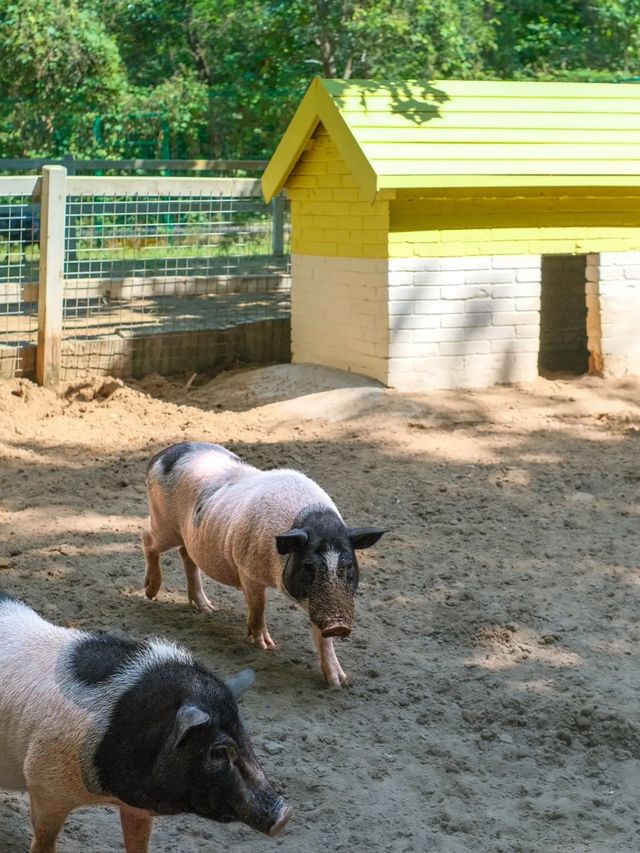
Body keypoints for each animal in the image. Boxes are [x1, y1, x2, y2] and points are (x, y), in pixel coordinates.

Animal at [0, 588, 290, 852]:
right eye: (218, 751)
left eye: (245, 736)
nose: (285, 814)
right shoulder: (44, 783)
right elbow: (45, 837)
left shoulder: (136, 807)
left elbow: (138, 841)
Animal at [142, 442, 388, 688]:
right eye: (308, 566)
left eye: (348, 566)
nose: (338, 625)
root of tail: (162, 455)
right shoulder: (248, 571)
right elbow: (258, 606)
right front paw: (267, 646)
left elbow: (322, 638)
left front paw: (339, 682)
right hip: (164, 525)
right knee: (148, 538)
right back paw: (150, 593)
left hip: (188, 537)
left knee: (186, 555)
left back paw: (208, 610)